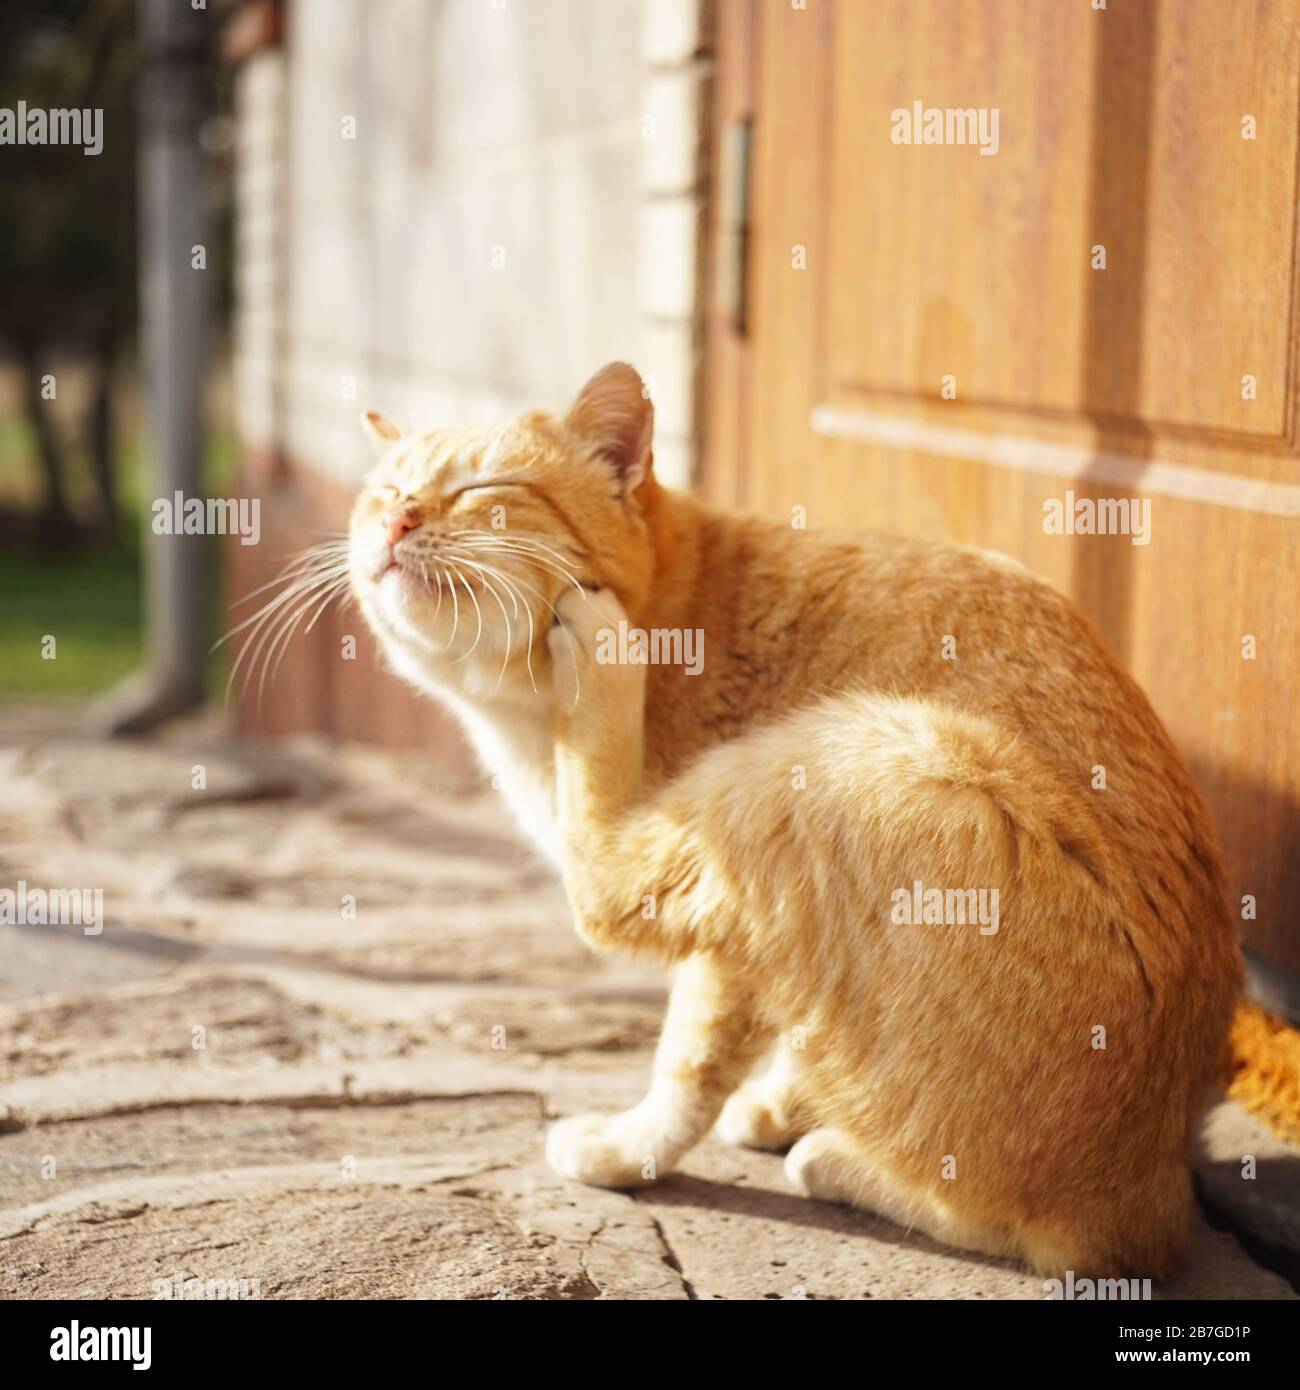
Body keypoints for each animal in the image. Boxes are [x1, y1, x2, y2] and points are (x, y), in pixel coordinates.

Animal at [350, 364, 1245, 1273]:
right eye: (385, 490)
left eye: (483, 489)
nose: (397, 519)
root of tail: (1150, 1189)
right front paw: (789, 1095)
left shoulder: (722, 931)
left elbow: (687, 1066)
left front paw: (632, 1150)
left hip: (859, 755)